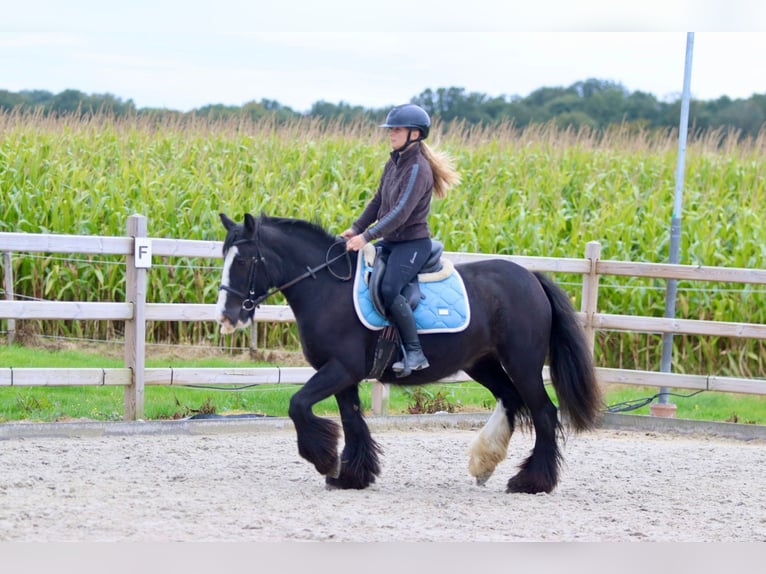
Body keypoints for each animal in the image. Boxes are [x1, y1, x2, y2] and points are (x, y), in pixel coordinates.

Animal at [216, 213, 608, 496]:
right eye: (224, 258)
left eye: (245, 260)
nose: (226, 316)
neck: (327, 288)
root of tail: (531, 279)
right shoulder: (342, 375)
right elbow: (352, 419)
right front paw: (351, 476)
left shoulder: (340, 369)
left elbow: (298, 404)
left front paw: (326, 462)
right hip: (482, 363)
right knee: (511, 400)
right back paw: (484, 464)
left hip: (523, 363)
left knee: (543, 412)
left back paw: (531, 482)